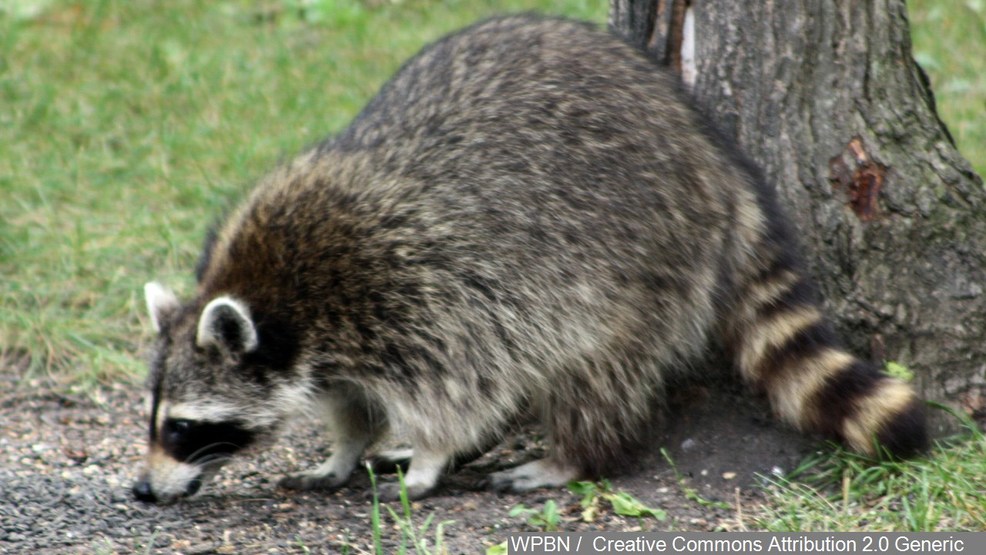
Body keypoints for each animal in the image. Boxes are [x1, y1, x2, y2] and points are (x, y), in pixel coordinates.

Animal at [132, 15, 927, 504]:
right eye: (153, 420)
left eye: (182, 429)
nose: (142, 488)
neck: (280, 296)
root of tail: (710, 155)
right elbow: (353, 402)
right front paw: (346, 450)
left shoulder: (418, 289)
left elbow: (457, 388)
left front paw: (429, 457)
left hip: (635, 256)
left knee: (594, 368)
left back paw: (572, 452)